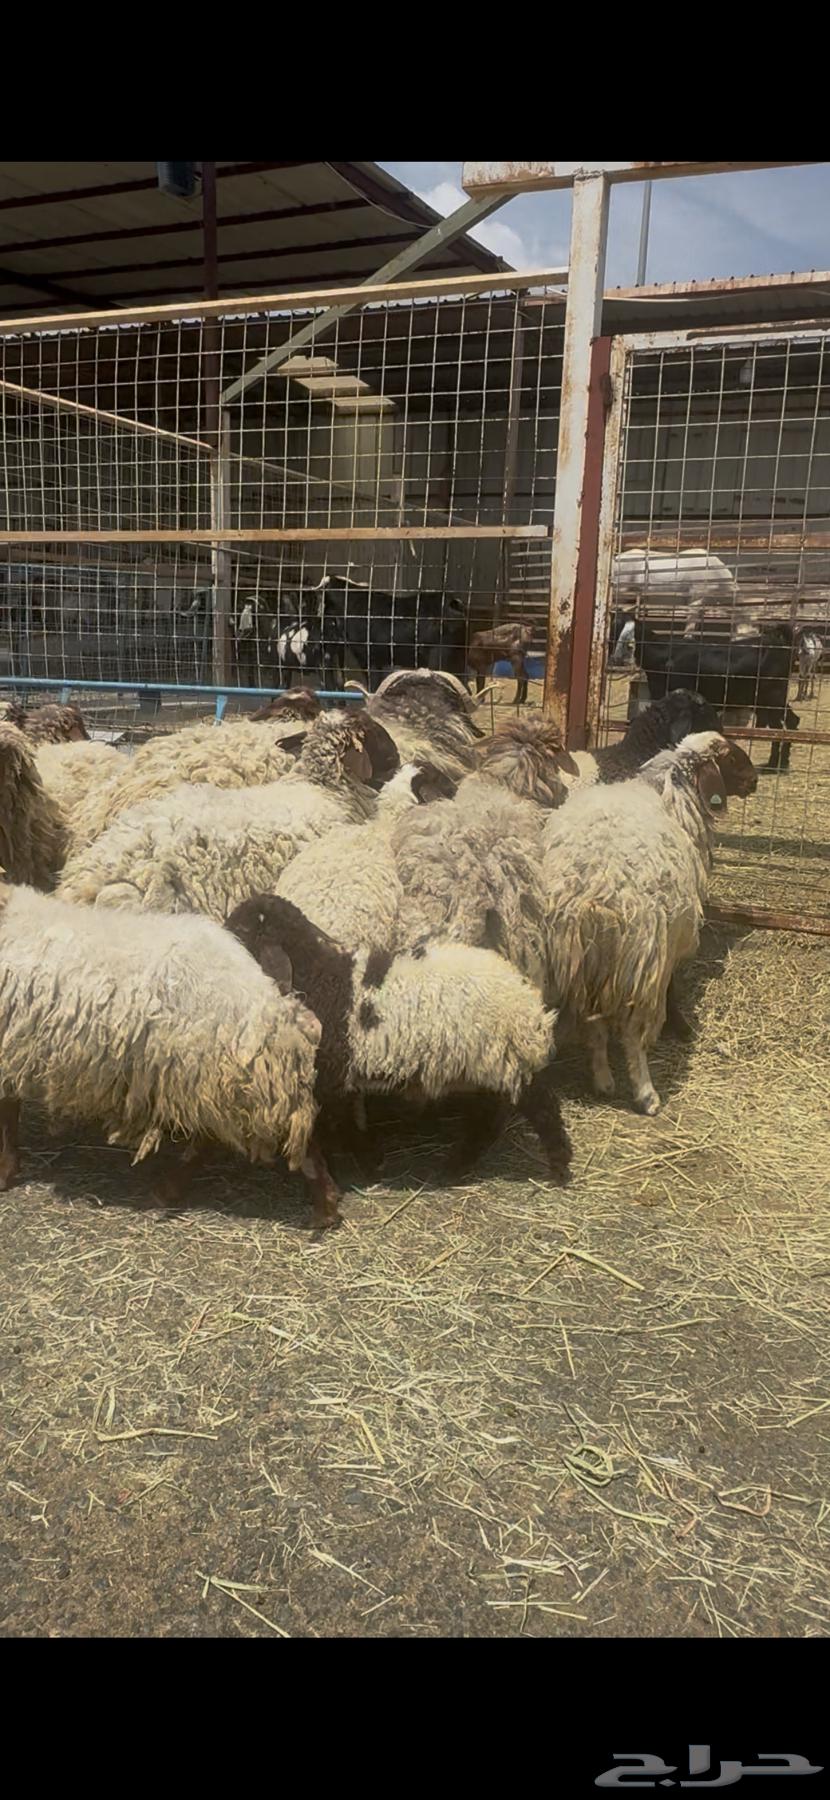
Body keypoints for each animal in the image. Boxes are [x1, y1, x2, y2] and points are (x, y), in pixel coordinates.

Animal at [0, 878, 341, 1226]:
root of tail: (269, 1002)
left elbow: (6, 1115)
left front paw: (5, 1172)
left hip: (211, 1075)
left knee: (216, 1140)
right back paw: (327, 1204)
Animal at [225, 894, 573, 1200]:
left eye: (242, 929)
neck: (322, 978)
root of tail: (526, 998)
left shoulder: (332, 1077)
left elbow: (340, 1124)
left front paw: (361, 1166)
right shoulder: (345, 1079)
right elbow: (352, 1121)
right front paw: (371, 1161)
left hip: (505, 1059)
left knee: (540, 1108)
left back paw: (557, 1169)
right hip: (489, 1064)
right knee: (491, 1116)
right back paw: (458, 1167)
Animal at [541, 731, 758, 1116]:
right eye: (731, 758)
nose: (755, 781)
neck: (673, 797)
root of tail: (594, 887)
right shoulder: (668, 949)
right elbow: (671, 989)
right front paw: (680, 1025)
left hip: (590, 964)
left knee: (595, 1027)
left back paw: (603, 1080)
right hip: (639, 962)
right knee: (631, 1035)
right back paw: (646, 1093)